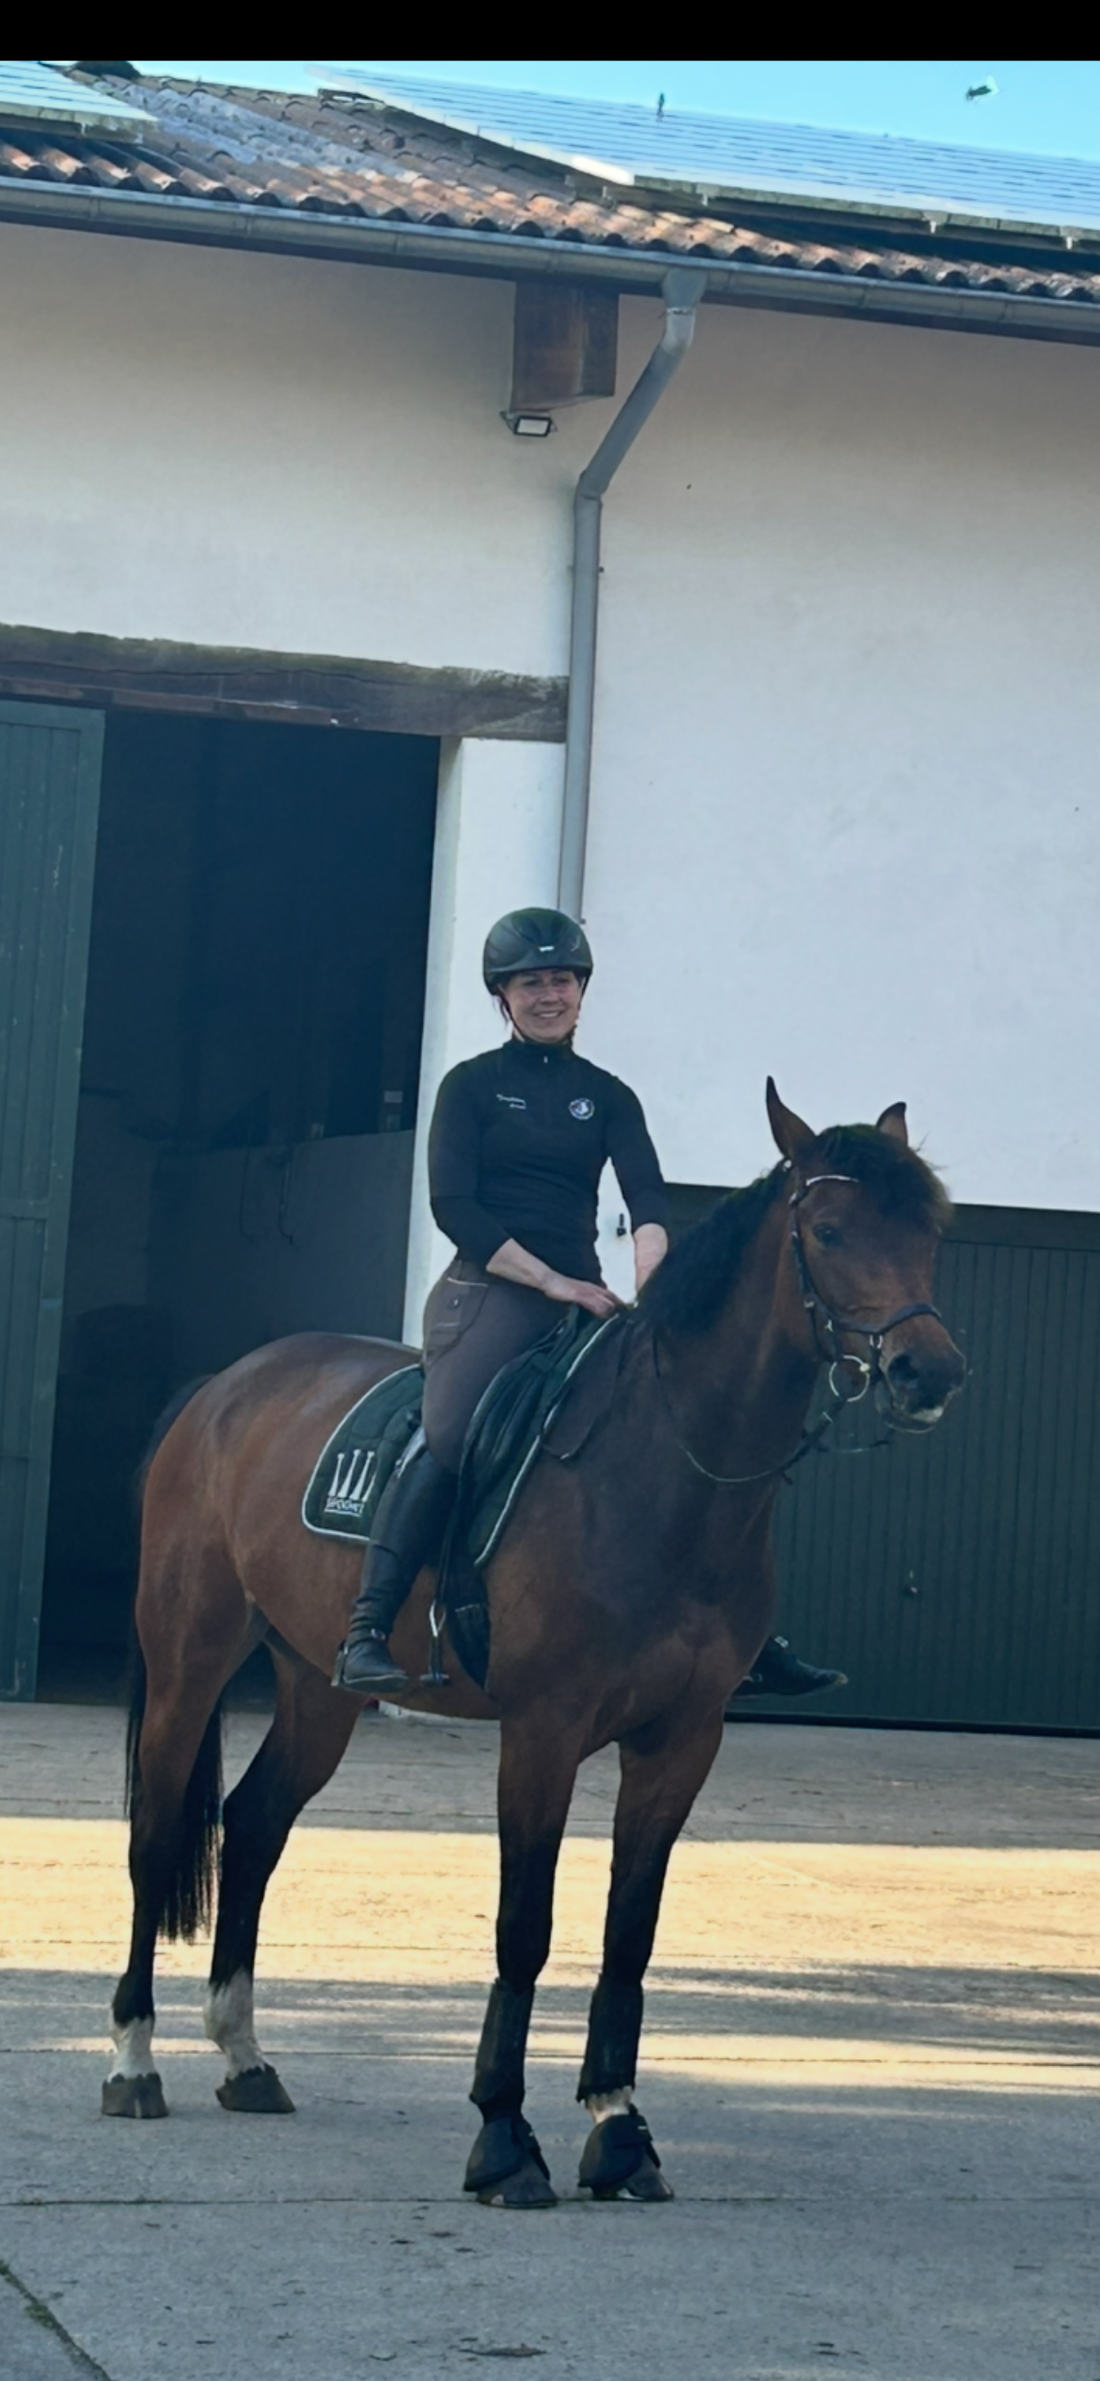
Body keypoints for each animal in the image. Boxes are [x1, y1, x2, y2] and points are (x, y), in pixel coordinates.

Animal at [104, 1081, 965, 2205]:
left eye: (930, 1232)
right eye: (826, 1231)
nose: (926, 1371)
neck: (661, 1472)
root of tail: (222, 1388)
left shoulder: (681, 1739)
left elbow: (629, 1931)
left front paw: (618, 2127)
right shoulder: (544, 1729)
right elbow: (527, 1925)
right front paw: (504, 2137)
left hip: (319, 1687)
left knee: (252, 1824)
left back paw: (245, 2056)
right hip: (190, 1655)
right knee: (158, 1828)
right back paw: (133, 2059)